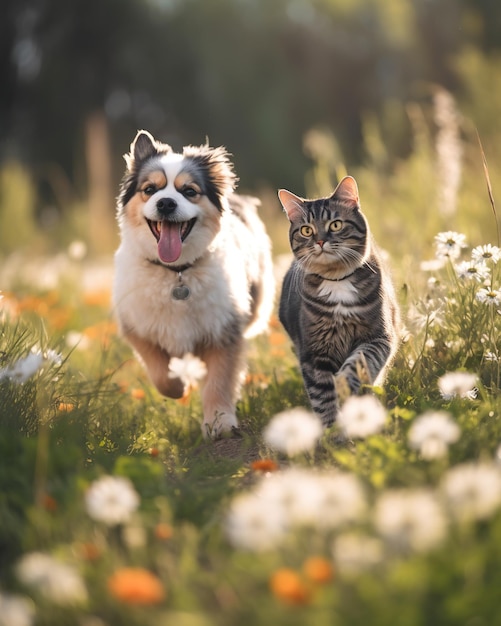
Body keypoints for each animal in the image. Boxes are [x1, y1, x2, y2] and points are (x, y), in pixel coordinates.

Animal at [112, 130, 274, 436]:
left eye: (189, 191)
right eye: (150, 189)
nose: (166, 203)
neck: (176, 273)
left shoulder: (224, 330)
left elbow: (219, 382)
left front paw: (219, 422)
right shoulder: (137, 327)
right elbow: (161, 373)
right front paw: (180, 386)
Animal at [278, 178, 398, 426]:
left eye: (335, 225)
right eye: (306, 230)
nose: (320, 241)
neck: (337, 281)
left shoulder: (379, 336)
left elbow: (361, 360)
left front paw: (345, 382)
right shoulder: (314, 355)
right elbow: (323, 399)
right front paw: (333, 430)